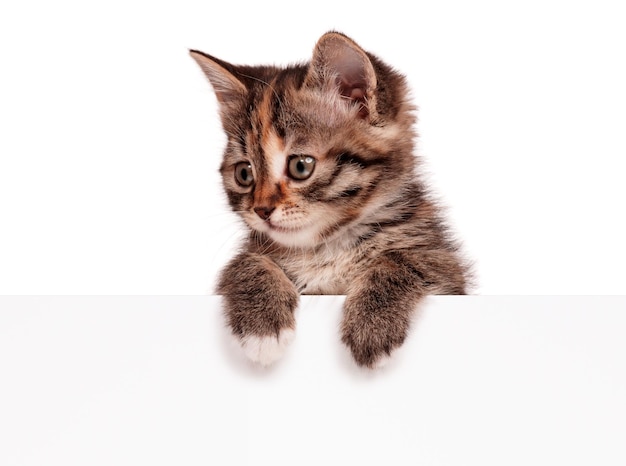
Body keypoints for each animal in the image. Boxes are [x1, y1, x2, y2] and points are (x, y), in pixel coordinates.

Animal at [189, 31, 468, 368]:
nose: (262, 210)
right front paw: (262, 327)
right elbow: (245, 262)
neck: (327, 247)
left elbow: (405, 260)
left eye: (301, 166)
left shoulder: (446, 269)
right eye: (244, 173)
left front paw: (372, 326)